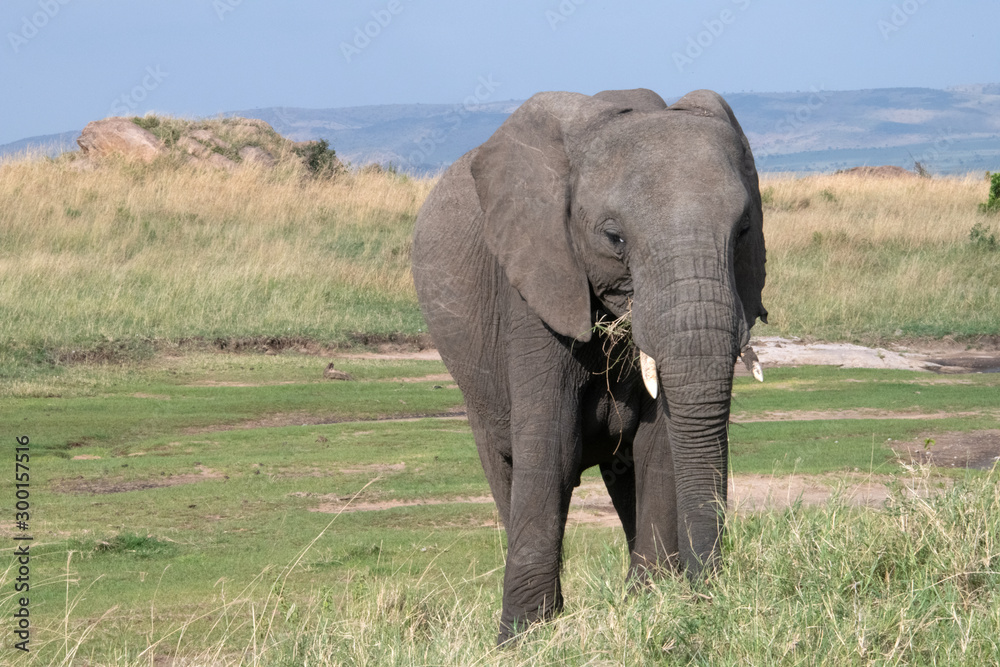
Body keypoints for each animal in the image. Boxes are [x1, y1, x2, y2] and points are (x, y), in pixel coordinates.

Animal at [411, 87, 767, 643]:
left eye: (745, 229)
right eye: (614, 237)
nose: (707, 593)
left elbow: (658, 446)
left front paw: (651, 607)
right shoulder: (535, 282)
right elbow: (552, 443)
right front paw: (522, 640)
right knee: (506, 465)